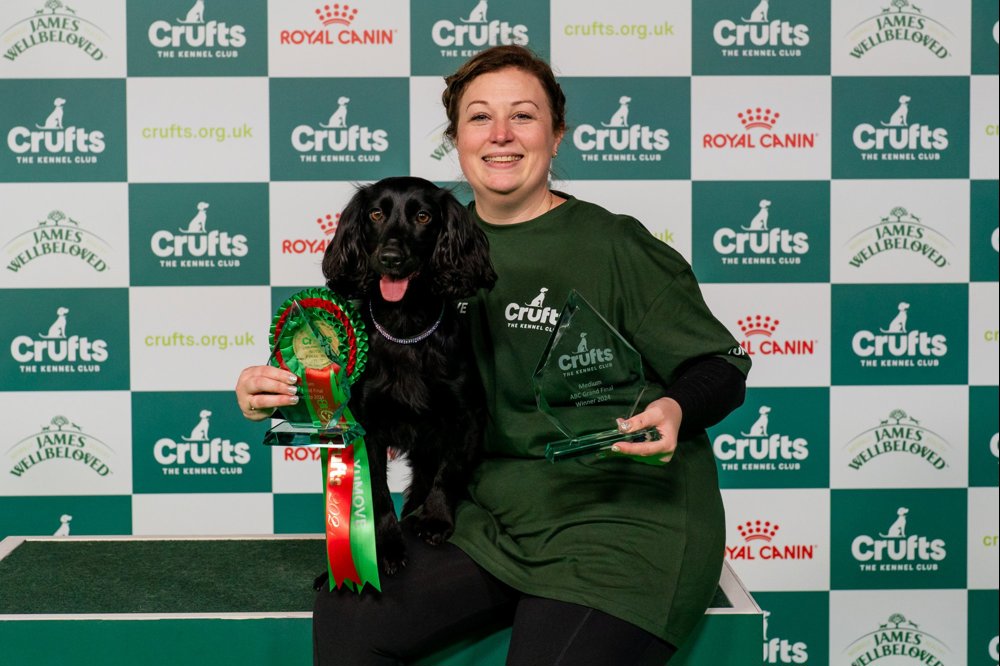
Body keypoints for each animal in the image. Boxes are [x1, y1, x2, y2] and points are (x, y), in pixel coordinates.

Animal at [320, 176, 496, 576]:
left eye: (423, 216)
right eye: (375, 213)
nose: (390, 258)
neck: (405, 326)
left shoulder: (465, 417)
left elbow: (448, 473)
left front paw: (434, 520)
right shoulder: (368, 426)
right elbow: (379, 493)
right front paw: (386, 546)